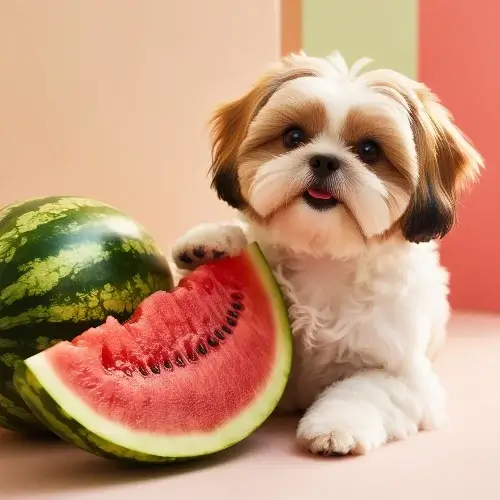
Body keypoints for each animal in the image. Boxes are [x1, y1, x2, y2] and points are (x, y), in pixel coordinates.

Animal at [171, 51, 480, 458]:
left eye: (369, 150)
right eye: (293, 136)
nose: (324, 160)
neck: (325, 259)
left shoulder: (405, 378)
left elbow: (362, 389)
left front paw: (336, 426)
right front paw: (213, 241)